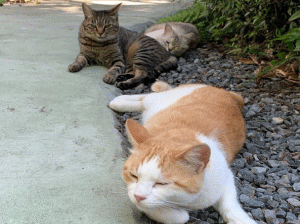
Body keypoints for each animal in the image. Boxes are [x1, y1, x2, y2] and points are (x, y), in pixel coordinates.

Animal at [109, 81, 256, 224]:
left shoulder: (224, 175)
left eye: (162, 183)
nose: (139, 196)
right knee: (148, 96)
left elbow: (230, 204)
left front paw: (241, 219)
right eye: (134, 176)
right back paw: (119, 101)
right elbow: (181, 217)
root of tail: (227, 93)